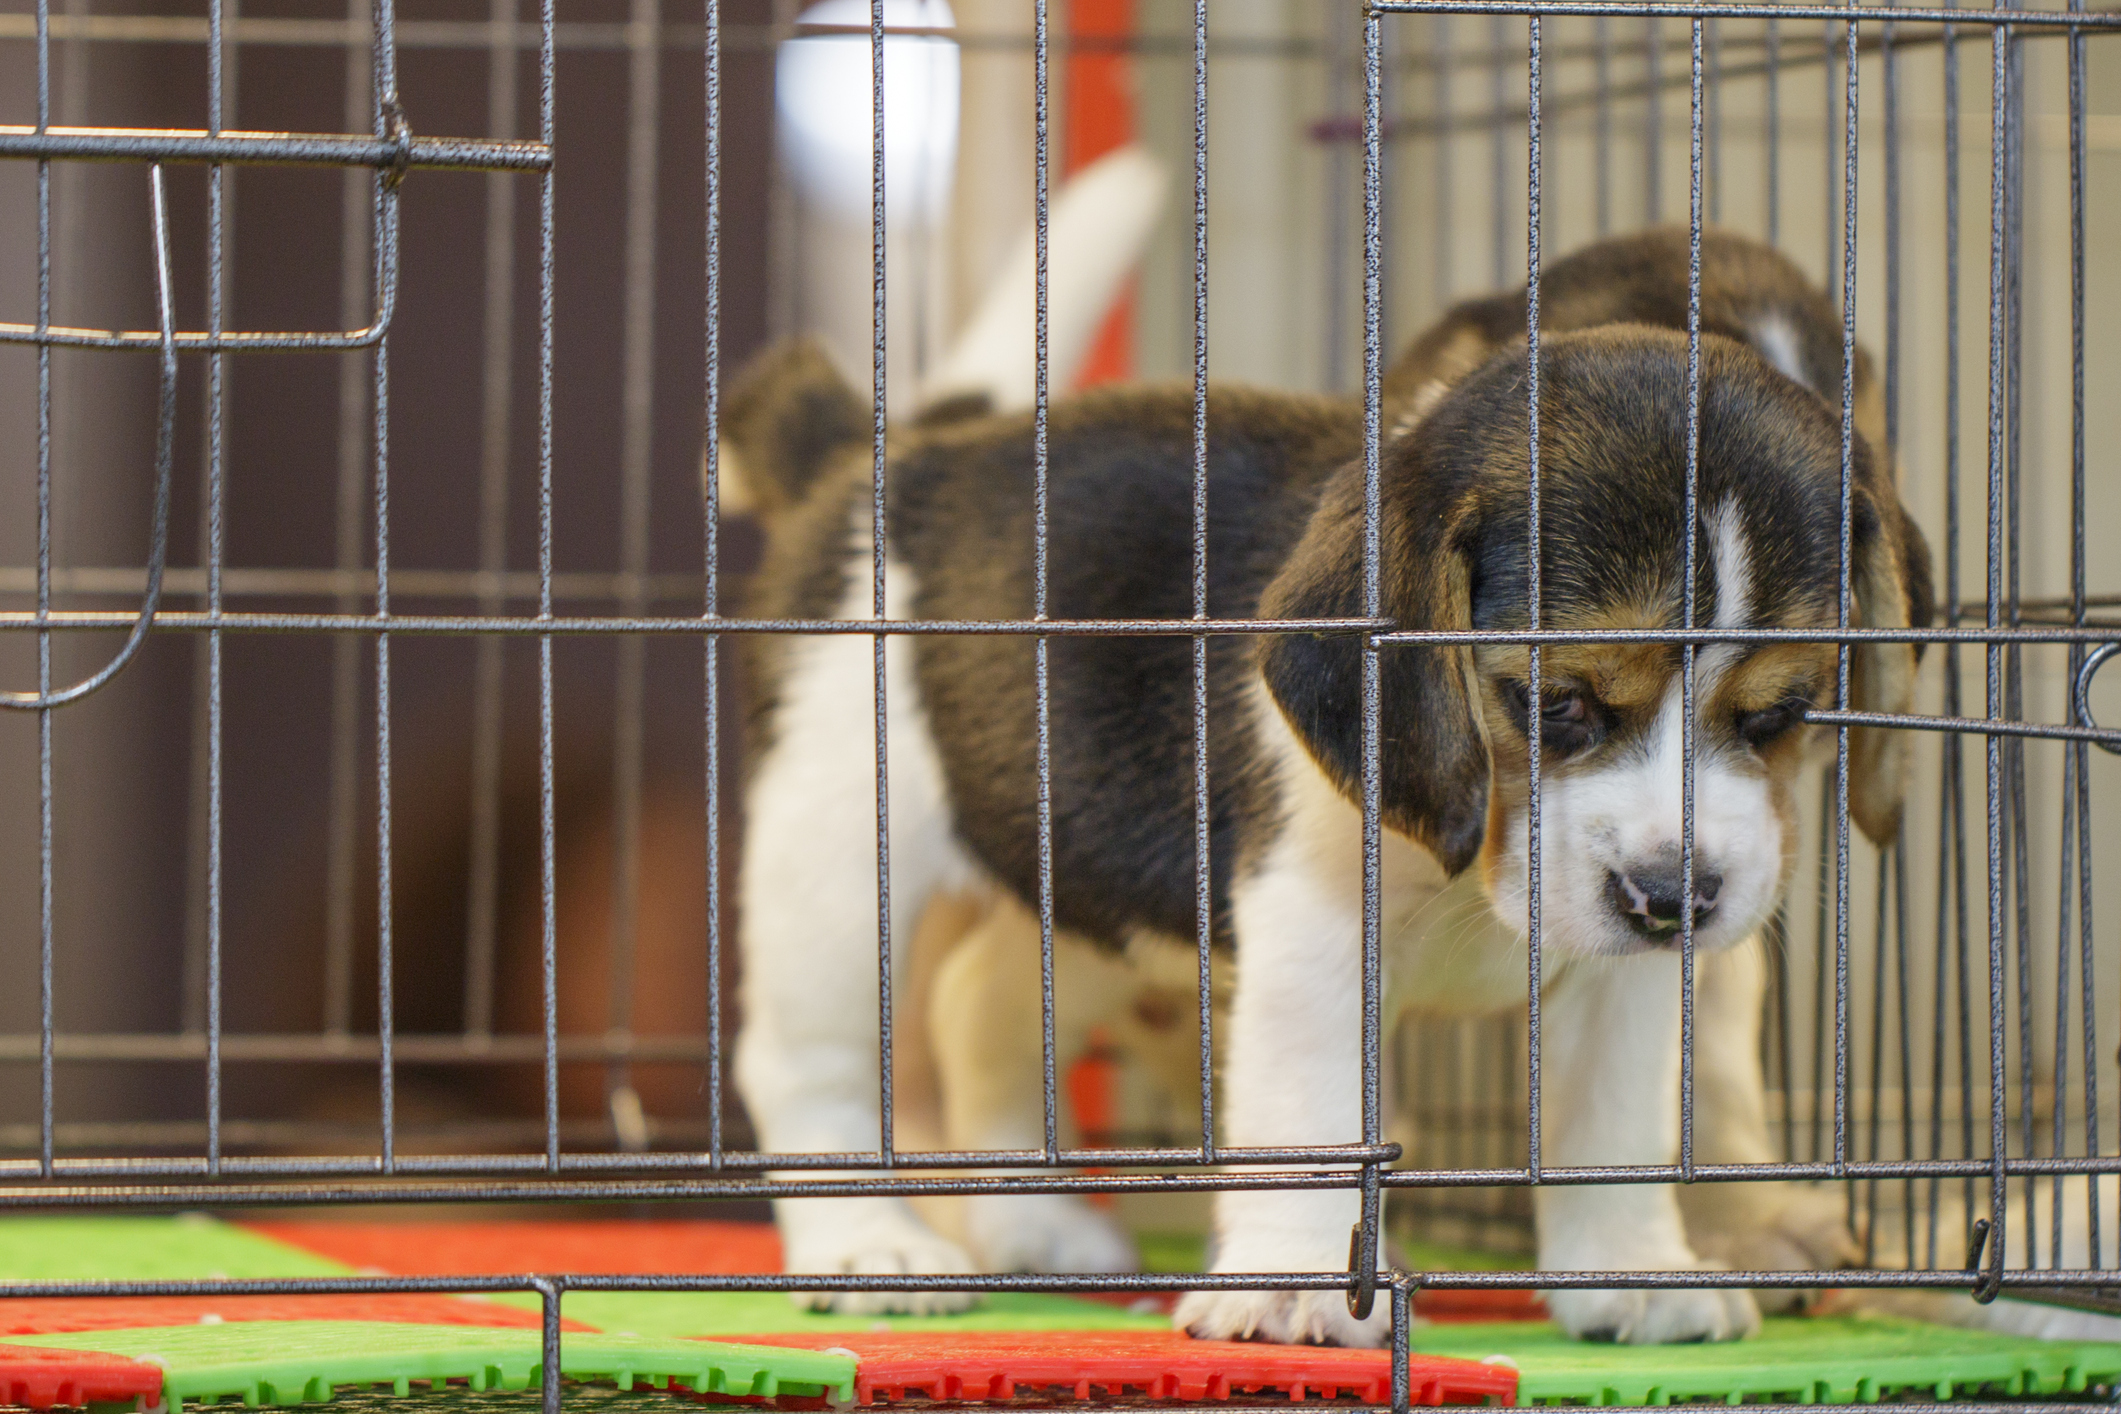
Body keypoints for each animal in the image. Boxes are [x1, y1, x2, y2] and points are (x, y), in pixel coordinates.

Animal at [729, 230, 1942, 1348]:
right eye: (1558, 704)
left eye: (1780, 714)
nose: (1673, 897)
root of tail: (886, 462)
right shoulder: (1315, 932)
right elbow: (1313, 1111)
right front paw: (1299, 1286)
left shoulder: (1628, 982)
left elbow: (1615, 1118)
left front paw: (1632, 1274)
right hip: (839, 869)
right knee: (805, 1062)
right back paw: (871, 1244)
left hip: (1091, 889)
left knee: (976, 1002)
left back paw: (1037, 1224)